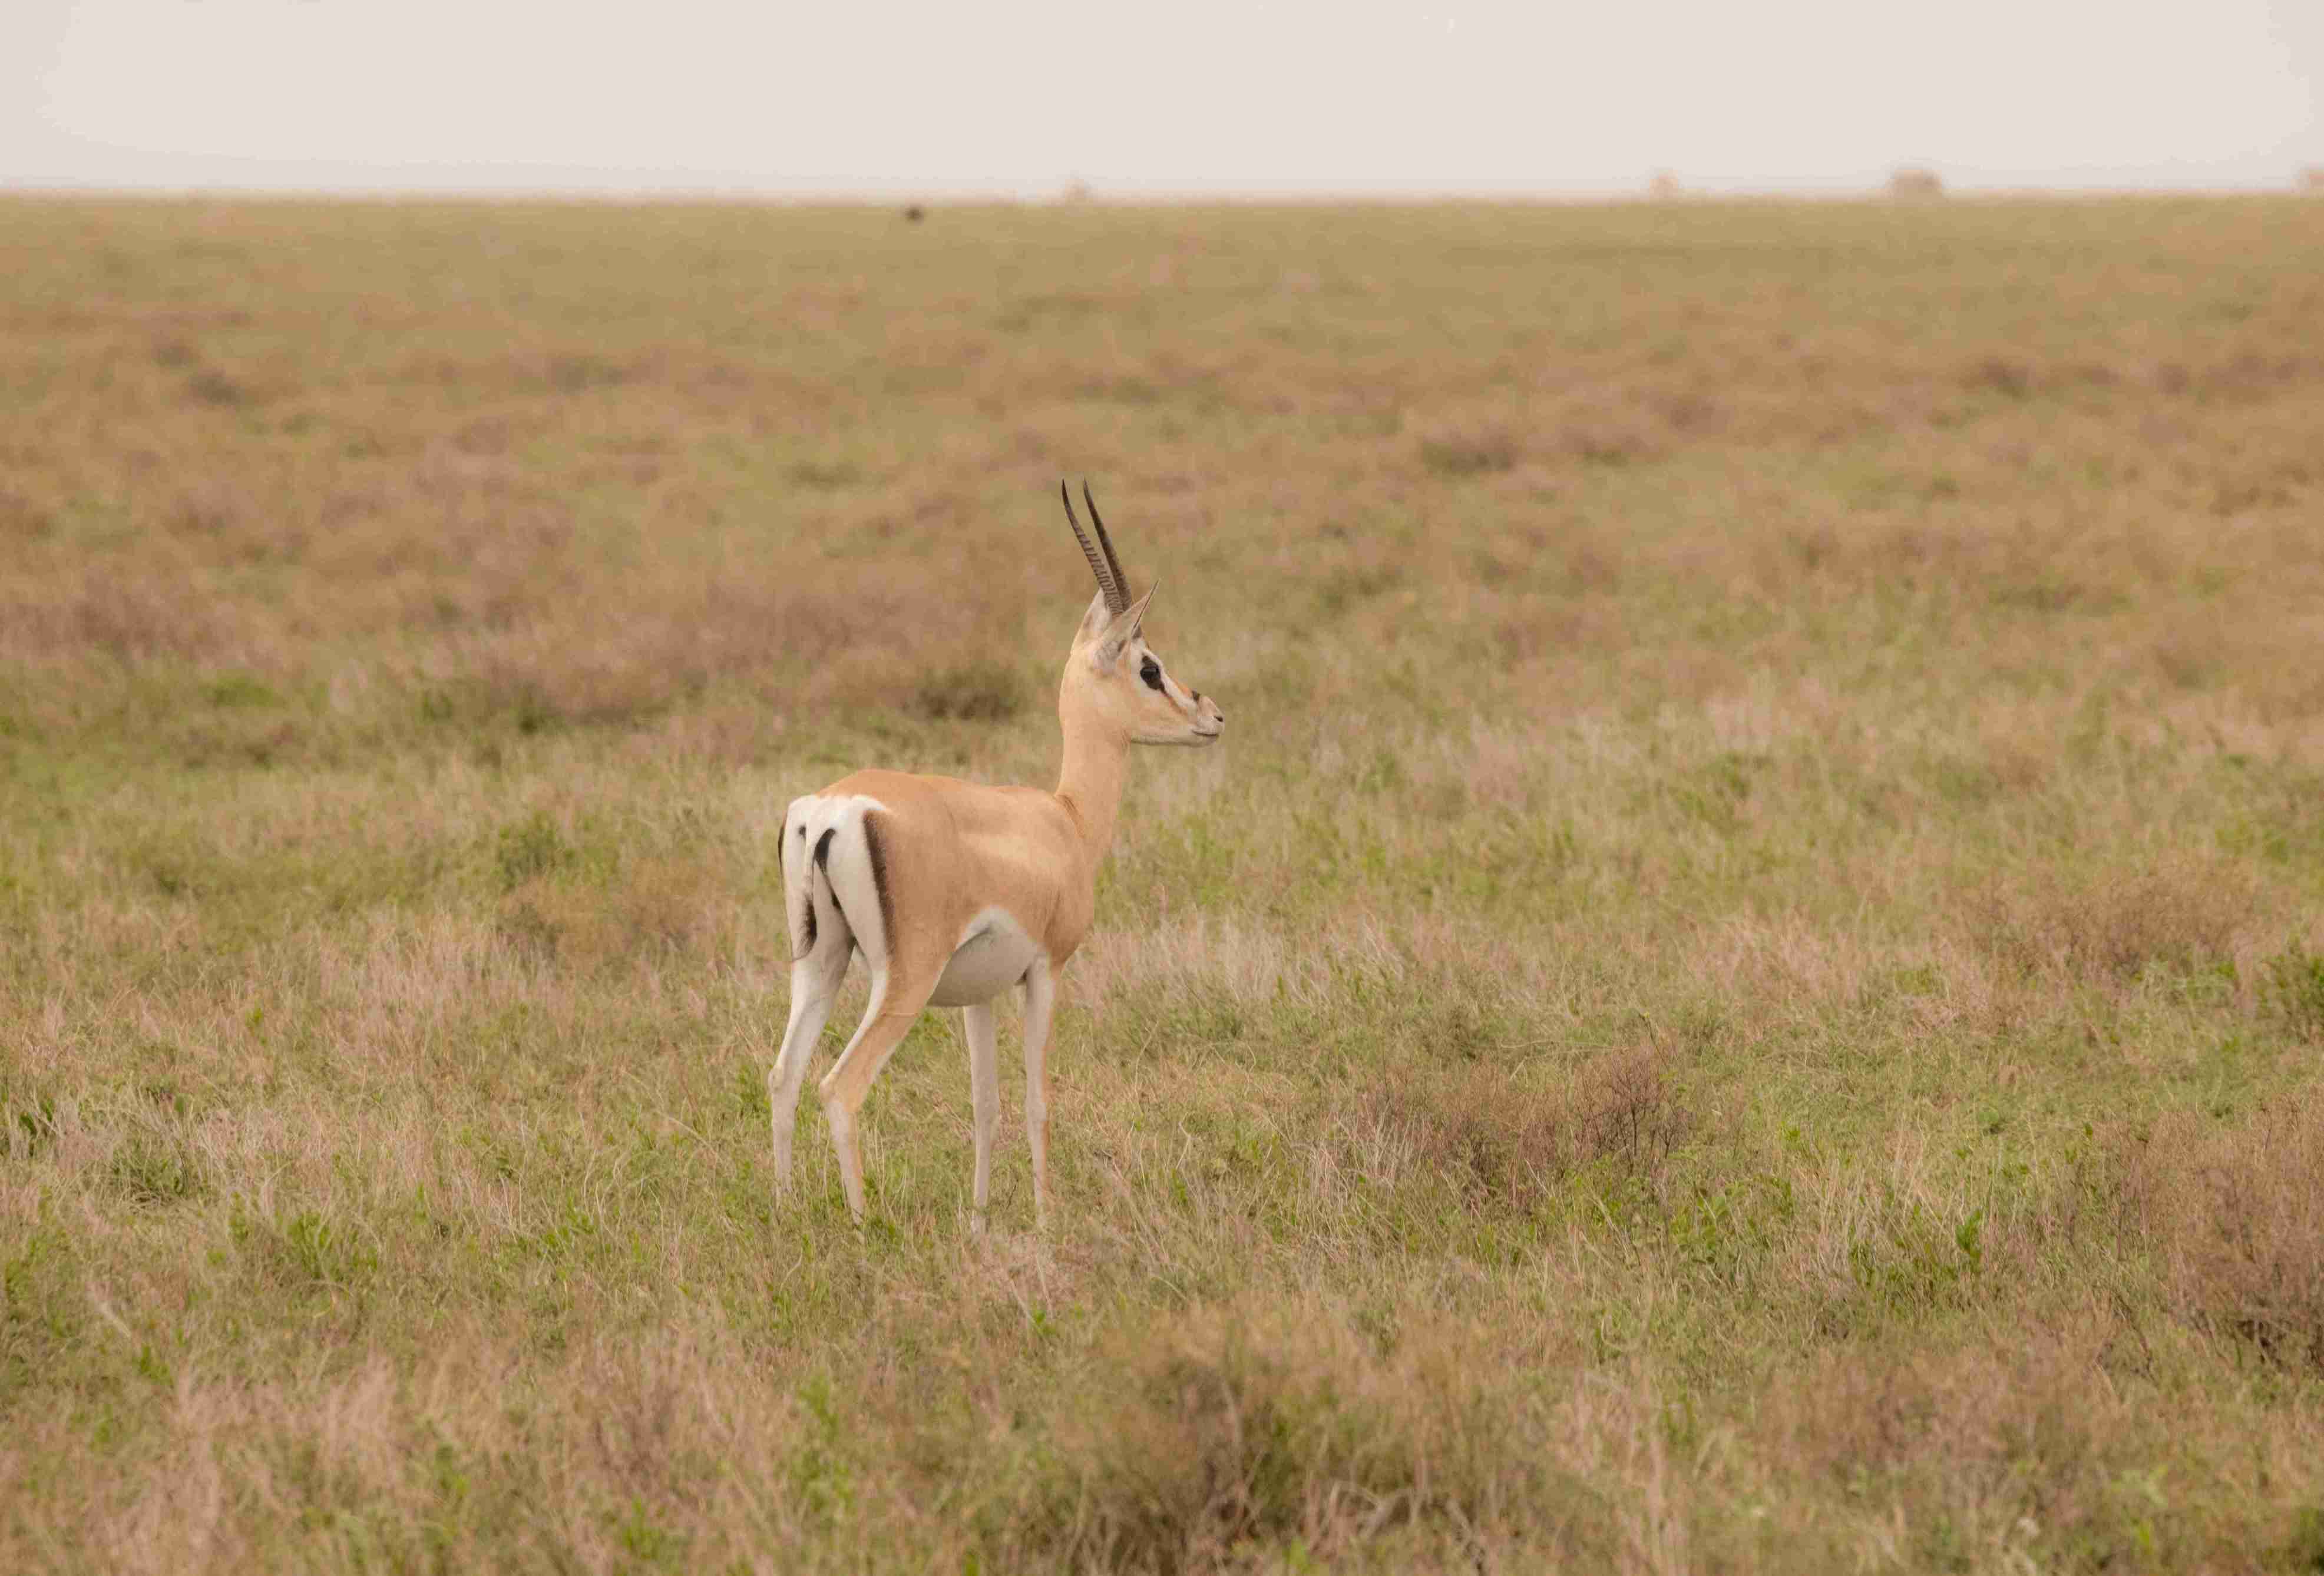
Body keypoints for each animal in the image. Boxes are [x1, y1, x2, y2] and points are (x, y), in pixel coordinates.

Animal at [771, 483, 1225, 1231]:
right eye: (1149, 667)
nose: (1211, 716)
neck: (1065, 820)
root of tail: (832, 810)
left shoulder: (974, 997)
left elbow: (985, 1103)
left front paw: (982, 1217)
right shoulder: (1045, 972)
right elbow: (1039, 1100)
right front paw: (1045, 1218)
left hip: (820, 964)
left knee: (783, 1075)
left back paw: (790, 1214)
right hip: (901, 982)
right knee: (839, 1086)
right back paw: (865, 1226)